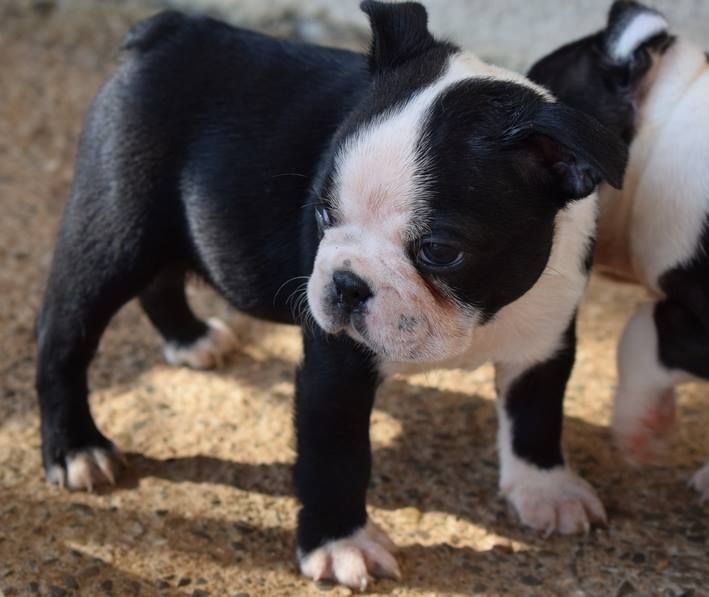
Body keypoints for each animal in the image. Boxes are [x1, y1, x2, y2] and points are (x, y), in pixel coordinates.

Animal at [36, 1, 626, 589]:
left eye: (439, 250)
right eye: (321, 214)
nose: (346, 281)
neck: (481, 318)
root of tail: (169, 30)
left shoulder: (545, 342)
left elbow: (536, 417)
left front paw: (547, 489)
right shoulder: (336, 367)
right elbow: (336, 458)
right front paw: (341, 545)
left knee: (161, 278)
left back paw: (189, 336)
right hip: (116, 230)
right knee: (64, 333)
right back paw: (75, 447)